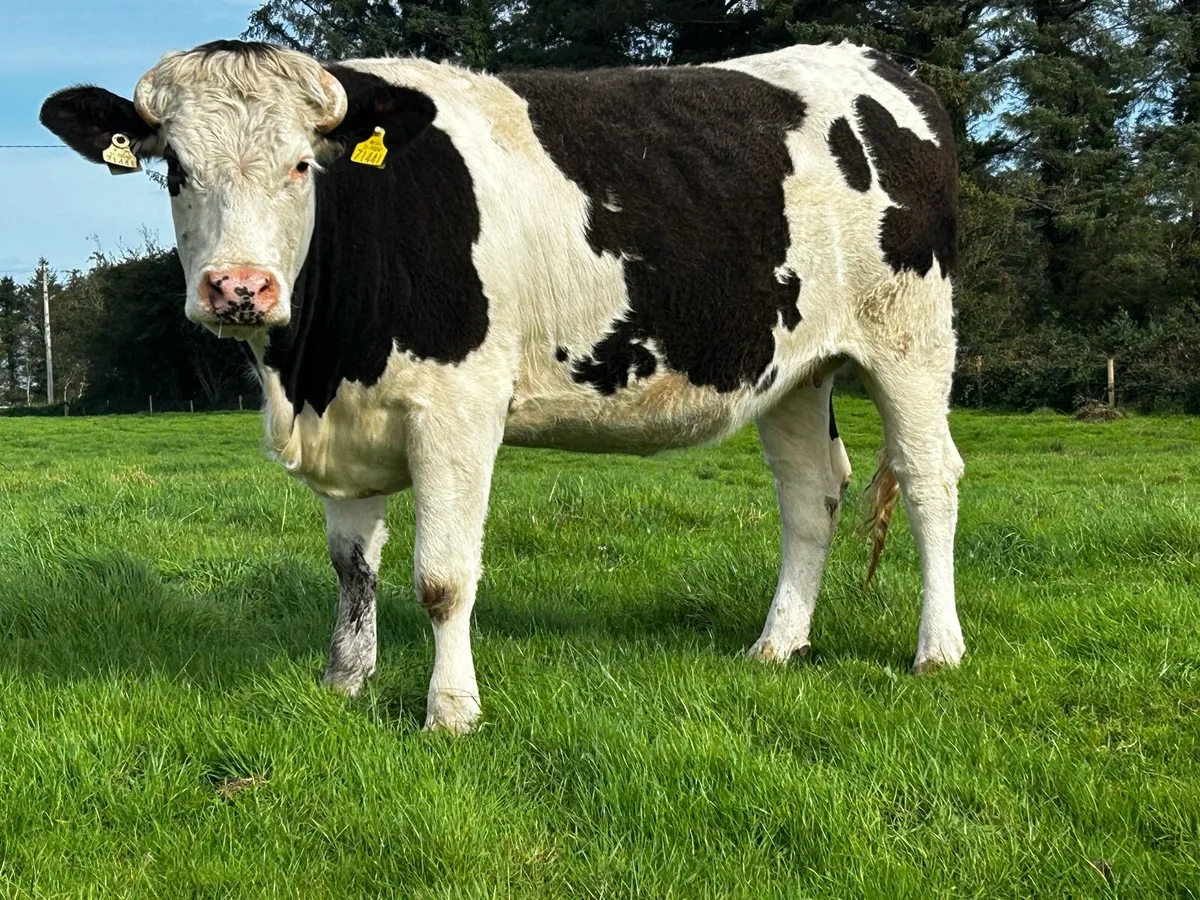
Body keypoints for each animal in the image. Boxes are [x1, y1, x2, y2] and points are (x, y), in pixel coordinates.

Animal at [41, 39, 964, 733]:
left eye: (303, 165)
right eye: (174, 169)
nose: (240, 287)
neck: (310, 370)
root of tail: (879, 65)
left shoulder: (456, 410)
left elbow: (443, 576)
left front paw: (450, 711)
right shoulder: (348, 423)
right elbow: (351, 567)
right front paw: (347, 683)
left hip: (911, 336)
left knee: (930, 481)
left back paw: (938, 650)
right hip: (794, 369)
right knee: (812, 494)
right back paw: (778, 646)